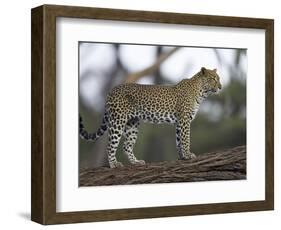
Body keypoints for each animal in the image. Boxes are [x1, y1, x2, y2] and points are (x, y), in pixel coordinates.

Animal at [79, 66, 221, 167]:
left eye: (219, 79)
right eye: (213, 79)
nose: (220, 87)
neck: (201, 92)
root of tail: (111, 90)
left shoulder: (179, 122)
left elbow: (179, 140)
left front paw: (182, 156)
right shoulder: (184, 119)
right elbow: (186, 139)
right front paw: (188, 155)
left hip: (132, 124)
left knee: (126, 146)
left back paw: (136, 162)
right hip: (118, 121)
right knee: (110, 145)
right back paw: (114, 164)